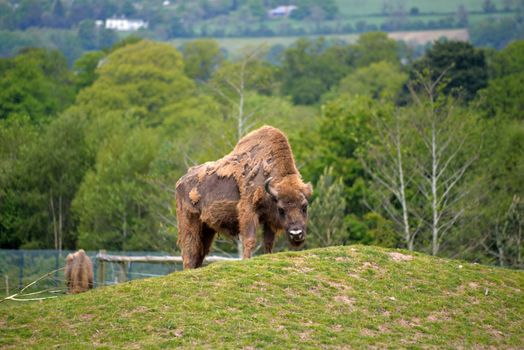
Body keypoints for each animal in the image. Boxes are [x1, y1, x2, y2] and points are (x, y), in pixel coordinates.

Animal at [176, 125, 314, 268]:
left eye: (304, 206)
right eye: (281, 209)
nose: (296, 234)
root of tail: (181, 181)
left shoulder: (269, 219)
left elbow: (268, 242)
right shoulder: (249, 211)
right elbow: (250, 240)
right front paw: (247, 259)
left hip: (207, 228)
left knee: (200, 253)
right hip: (189, 222)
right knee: (189, 252)